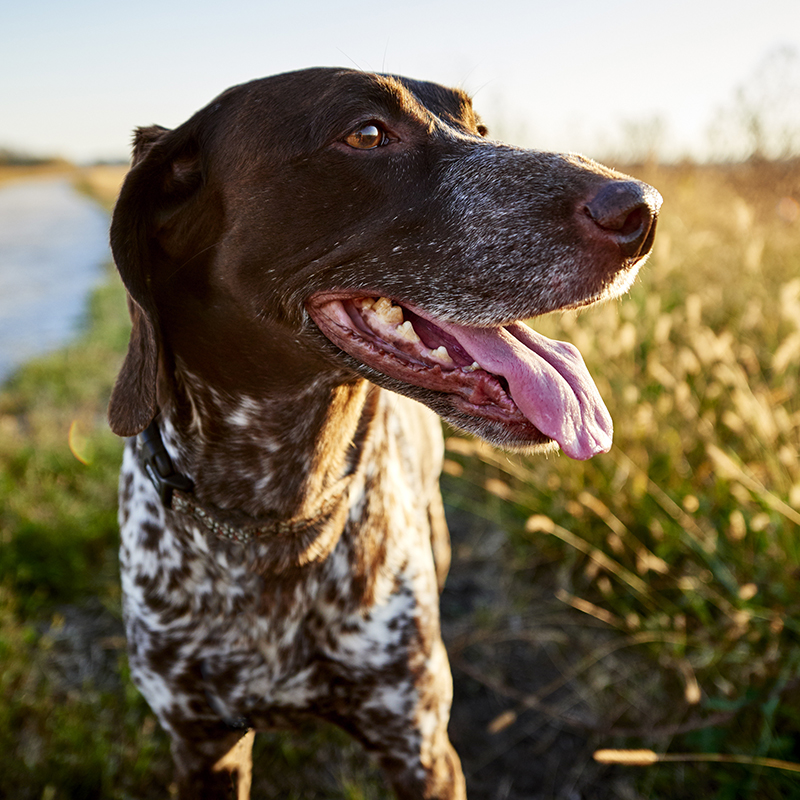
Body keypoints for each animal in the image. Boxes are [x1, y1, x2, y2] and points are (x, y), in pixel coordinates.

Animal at [108, 69, 664, 800]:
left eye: (480, 130)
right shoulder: (204, 750)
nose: (643, 210)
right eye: (367, 134)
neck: (276, 521)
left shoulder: (420, 748)